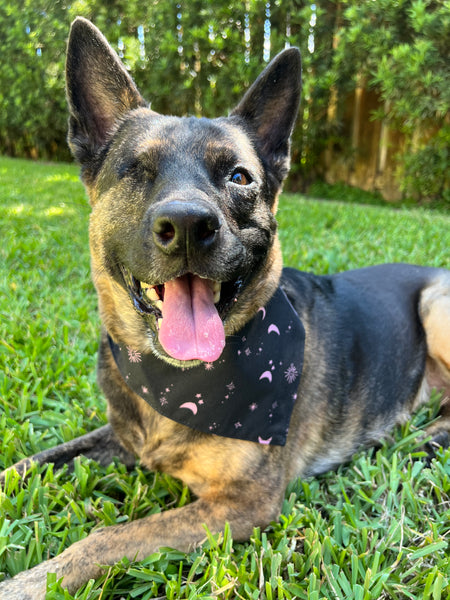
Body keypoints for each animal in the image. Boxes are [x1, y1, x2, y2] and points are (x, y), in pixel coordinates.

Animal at [0, 16, 450, 596]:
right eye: (135, 170)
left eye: (238, 177)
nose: (188, 225)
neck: (178, 380)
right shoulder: (118, 438)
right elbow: (28, 463)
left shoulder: (242, 504)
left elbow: (108, 537)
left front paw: (31, 581)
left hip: (435, 306)